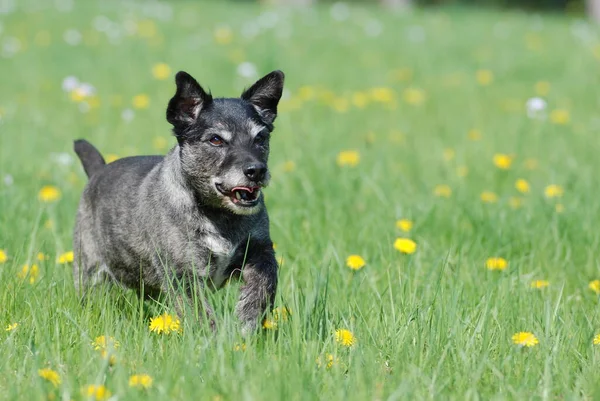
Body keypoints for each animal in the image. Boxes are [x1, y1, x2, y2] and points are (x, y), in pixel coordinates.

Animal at [72, 70, 284, 332]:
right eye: (216, 140)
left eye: (260, 137)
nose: (256, 170)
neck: (218, 215)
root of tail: (97, 171)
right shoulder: (183, 272)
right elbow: (200, 312)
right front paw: (213, 338)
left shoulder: (261, 251)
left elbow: (264, 283)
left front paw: (248, 320)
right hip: (89, 270)